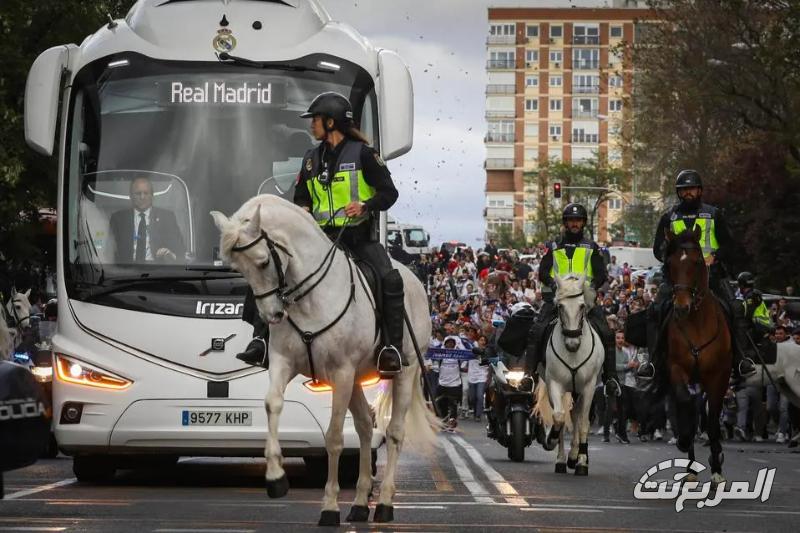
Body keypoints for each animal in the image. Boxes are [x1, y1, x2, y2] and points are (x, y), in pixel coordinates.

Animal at [211, 194, 438, 524]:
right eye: (237, 268)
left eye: (263, 262)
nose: (272, 315)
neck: (308, 297)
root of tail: (415, 281)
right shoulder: (283, 362)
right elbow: (272, 404)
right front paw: (276, 477)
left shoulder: (340, 373)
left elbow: (333, 437)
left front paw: (329, 506)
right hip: (357, 377)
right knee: (365, 426)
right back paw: (360, 503)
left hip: (402, 374)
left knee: (394, 432)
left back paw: (383, 503)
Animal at [536, 274, 604, 474]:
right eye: (560, 306)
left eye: (582, 306)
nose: (572, 343)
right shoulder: (555, 384)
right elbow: (559, 416)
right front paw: (551, 440)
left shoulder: (589, 387)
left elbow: (584, 424)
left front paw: (582, 462)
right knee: (569, 415)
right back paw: (565, 458)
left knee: (578, 417)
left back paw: (576, 457)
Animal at [664, 224, 732, 486]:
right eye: (670, 263)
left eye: (696, 262)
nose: (681, 307)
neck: (696, 322)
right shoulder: (676, 368)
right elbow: (685, 403)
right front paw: (684, 440)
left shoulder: (719, 376)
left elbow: (712, 422)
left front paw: (717, 469)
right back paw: (691, 467)